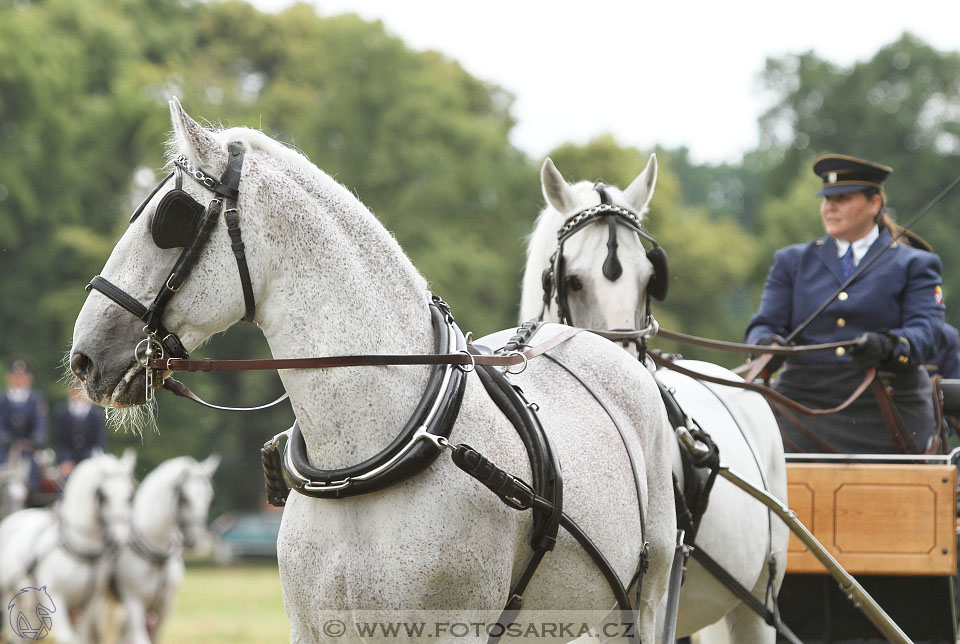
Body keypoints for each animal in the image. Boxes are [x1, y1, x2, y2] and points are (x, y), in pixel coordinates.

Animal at [0, 450, 135, 644]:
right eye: (102, 495)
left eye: (130, 495)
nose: (119, 539)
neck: (82, 550)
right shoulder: (54, 598)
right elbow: (67, 637)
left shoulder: (89, 604)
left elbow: (83, 637)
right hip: (10, 596)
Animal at [95, 452, 219, 644]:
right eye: (184, 497)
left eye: (209, 496)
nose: (195, 540)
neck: (157, 554)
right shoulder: (134, 604)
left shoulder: (164, 607)